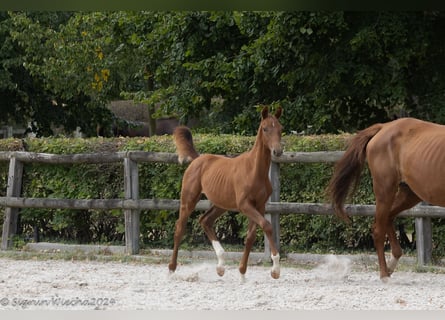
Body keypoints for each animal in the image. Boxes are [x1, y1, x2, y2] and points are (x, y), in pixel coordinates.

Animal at [168, 106, 282, 278]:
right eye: (265, 128)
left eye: (281, 128)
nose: (278, 151)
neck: (254, 171)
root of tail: (197, 159)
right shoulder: (244, 205)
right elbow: (267, 225)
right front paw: (275, 269)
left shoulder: (260, 206)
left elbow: (251, 236)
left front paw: (242, 273)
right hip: (189, 200)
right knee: (179, 228)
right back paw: (171, 269)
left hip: (221, 204)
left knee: (205, 220)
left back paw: (221, 265)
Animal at [324, 117, 444, 280]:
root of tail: (384, 127)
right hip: (385, 191)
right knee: (378, 230)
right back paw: (384, 275)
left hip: (409, 194)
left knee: (388, 218)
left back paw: (391, 264)